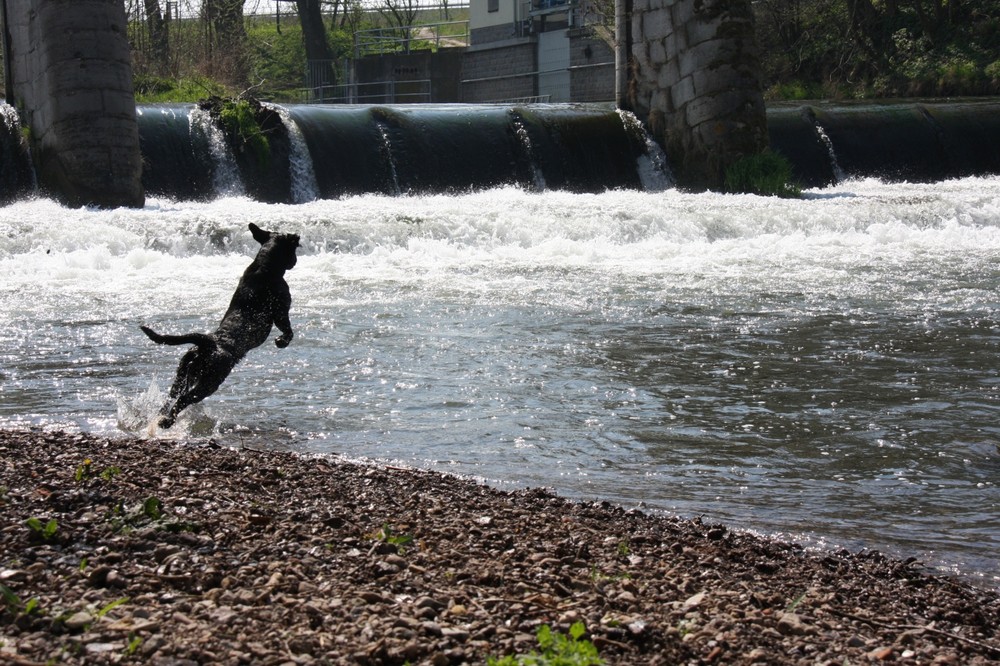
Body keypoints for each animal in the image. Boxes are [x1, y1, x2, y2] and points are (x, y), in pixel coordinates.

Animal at [142, 220, 300, 428]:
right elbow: (288, 331)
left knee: (171, 397)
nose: (295, 261)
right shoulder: (281, 311)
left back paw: (160, 417)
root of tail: (206, 343)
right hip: (209, 381)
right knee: (183, 400)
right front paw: (281, 341)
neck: (265, 266)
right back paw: (167, 422)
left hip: (183, 374)